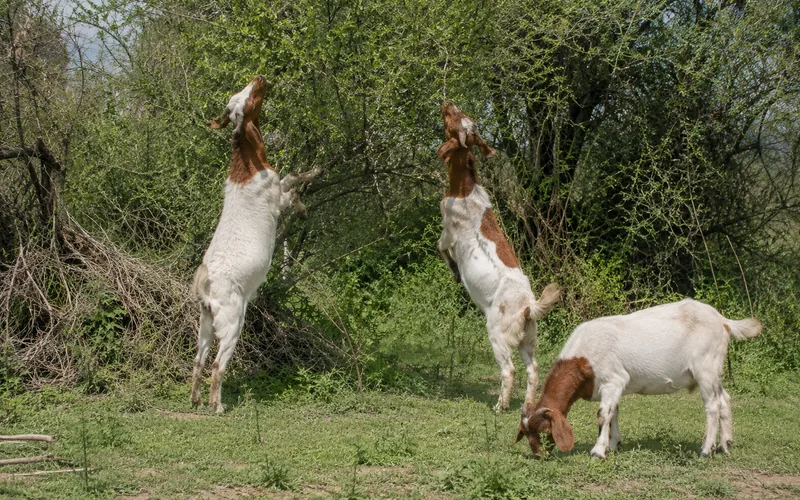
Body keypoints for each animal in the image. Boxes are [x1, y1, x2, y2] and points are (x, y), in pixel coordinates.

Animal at [190, 75, 322, 413]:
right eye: (247, 99)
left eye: (241, 92)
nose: (260, 78)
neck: (246, 166)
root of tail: (207, 287)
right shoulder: (276, 197)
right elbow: (292, 184)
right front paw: (307, 196)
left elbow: (292, 177)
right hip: (233, 322)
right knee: (217, 366)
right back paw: (217, 406)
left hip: (206, 324)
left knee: (198, 361)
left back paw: (195, 399)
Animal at [436, 102, 560, 411]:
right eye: (461, 114)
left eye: (454, 117)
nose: (447, 103)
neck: (464, 189)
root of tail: (528, 306)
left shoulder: (448, 232)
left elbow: (440, 247)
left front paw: (455, 273)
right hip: (528, 339)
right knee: (533, 369)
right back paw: (526, 405)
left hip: (496, 333)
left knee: (509, 369)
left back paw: (500, 405)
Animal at [514, 298, 762, 458]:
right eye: (525, 433)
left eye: (545, 430)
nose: (539, 455)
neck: (583, 359)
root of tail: (723, 321)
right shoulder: (613, 388)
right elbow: (614, 412)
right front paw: (614, 445)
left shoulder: (614, 379)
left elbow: (603, 415)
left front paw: (598, 451)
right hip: (714, 370)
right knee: (725, 399)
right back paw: (725, 445)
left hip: (705, 369)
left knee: (712, 406)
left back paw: (706, 450)